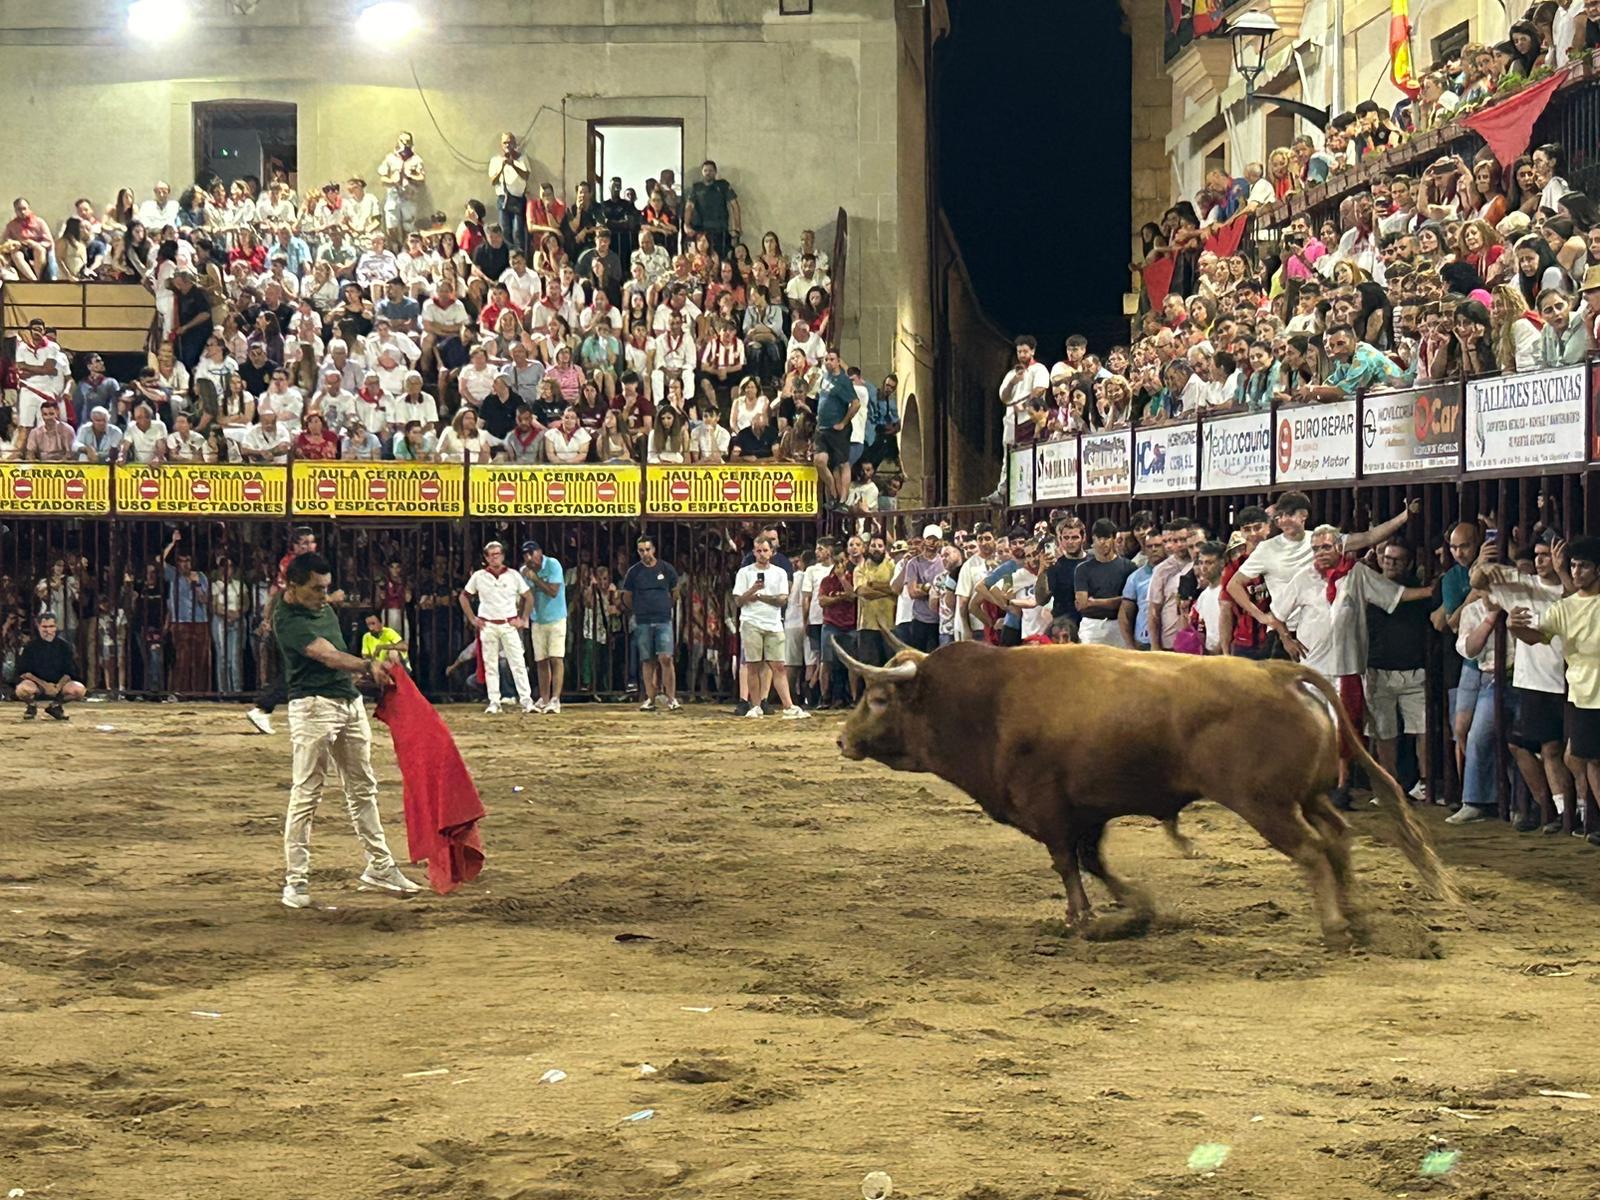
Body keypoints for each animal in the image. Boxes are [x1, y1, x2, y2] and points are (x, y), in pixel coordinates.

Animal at [838, 643, 1452, 947]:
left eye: (877, 697)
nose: (843, 739)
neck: (986, 700)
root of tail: (1278, 673)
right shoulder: (1088, 812)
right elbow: (1093, 861)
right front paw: (1136, 908)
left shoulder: (1048, 809)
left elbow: (1068, 865)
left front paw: (1084, 920)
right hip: (1308, 795)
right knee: (1339, 838)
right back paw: (1357, 914)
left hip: (1267, 805)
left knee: (1312, 850)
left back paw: (1334, 926)